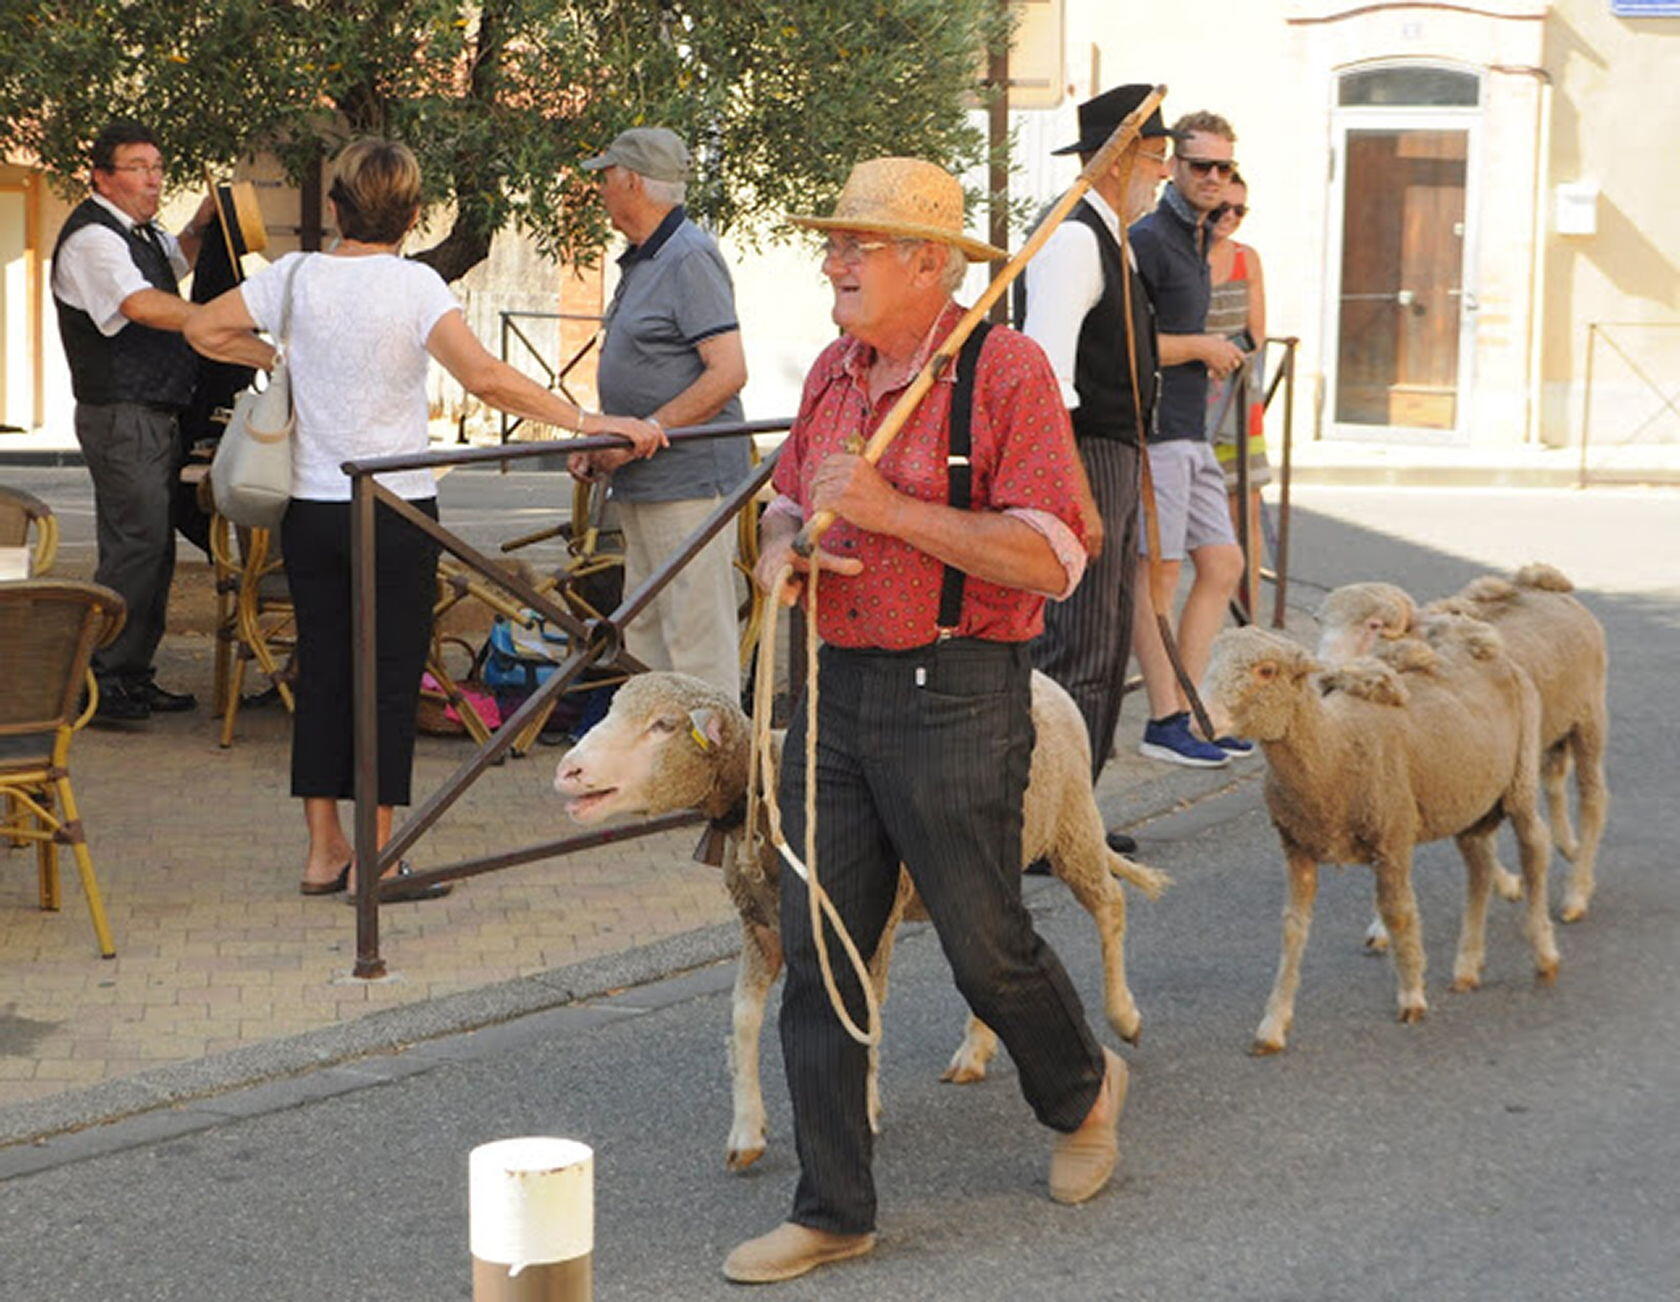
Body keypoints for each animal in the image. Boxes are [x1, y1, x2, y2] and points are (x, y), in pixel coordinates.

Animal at [551, 672, 1169, 1169]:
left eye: (663, 725)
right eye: (610, 708)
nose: (567, 770)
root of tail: (1044, 679)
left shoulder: (868, 923)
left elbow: (862, 1008)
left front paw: (864, 1109)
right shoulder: (759, 928)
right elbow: (744, 1020)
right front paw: (747, 1132)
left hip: (1071, 823)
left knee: (1109, 905)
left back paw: (1125, 1015)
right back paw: (975, 1051)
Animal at [1202, 624, 1552, 1061]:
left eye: (1266, 670)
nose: (1200, 721)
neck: (1332, 749)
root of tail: (1489, 650)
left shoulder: (1393, 838)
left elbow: (1398, 913)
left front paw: (1412, 996)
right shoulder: (1297, 849)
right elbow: (1293, 930)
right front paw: (1272, 1025)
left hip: (1520, 778)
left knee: (1535, 847)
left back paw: (1544, 953)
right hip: (1470, 800)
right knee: (1480, 868)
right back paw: (1467, 967)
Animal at [1317, 564, 1606, 920]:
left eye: (1373, 626)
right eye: (1321, 622)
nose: (1323, 673)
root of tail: (1547, 586)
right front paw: (1506, 883)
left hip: (1589, 717)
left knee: (1593, 798)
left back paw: (1576, 892)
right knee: (1554, 776)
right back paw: (1567, 845)